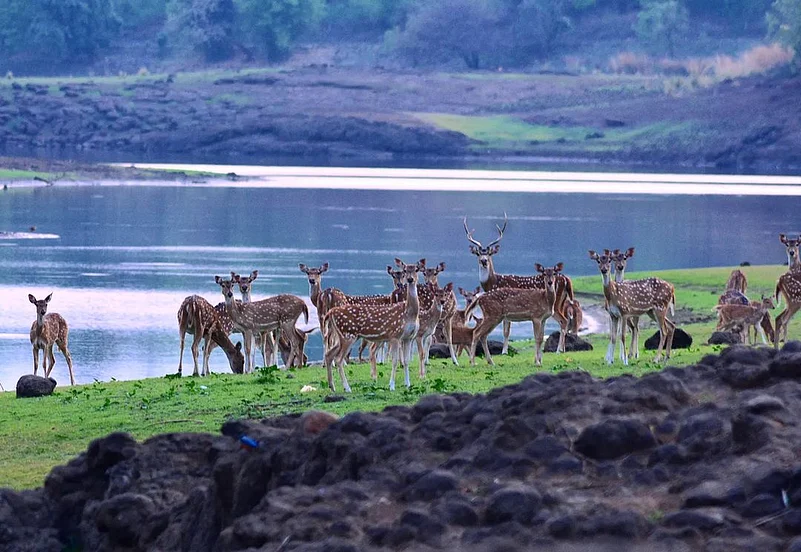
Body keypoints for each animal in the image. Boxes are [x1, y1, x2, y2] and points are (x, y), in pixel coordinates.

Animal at [322, 258, 424, 392]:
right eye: (405, 270)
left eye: (416, 269)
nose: (410, 279)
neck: (409, 314)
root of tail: (331, 312)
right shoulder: (394, 334)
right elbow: (395, 361)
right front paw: (392, 386)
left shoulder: (408, 337)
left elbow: (406, 361)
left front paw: (408, 384)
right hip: (348, 334)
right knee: (338, 359)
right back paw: (347, 388)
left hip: (341, 336)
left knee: (329, 354)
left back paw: (332, 386)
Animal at [463, 213, 575, 354]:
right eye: (478, 253)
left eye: (489, 253)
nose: (484, 261)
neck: (493, 282)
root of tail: (566, 279)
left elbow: (506, 331)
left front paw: (504, 351)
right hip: (562, 301)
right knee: (566, 320)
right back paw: (563, 348)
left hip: (556, 303)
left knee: (563, 321)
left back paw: (559, 350)